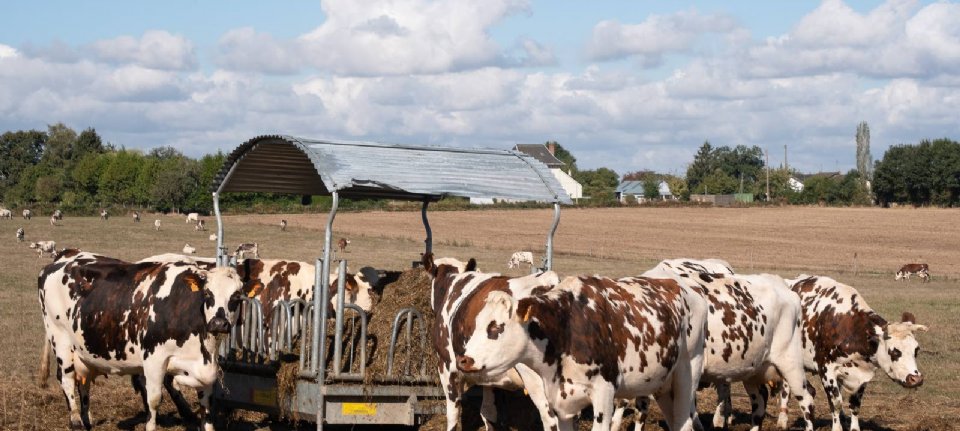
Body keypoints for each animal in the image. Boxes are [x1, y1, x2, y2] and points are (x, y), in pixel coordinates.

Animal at [38, 250, 246, 431]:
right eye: (207, 294)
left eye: (236, 297)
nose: (219, 323)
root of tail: (64, 257)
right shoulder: (154, 359)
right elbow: (154, 398)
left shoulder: (207, 365)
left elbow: (206, 401)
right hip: (60, 340)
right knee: (66, 378)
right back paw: (76, 421)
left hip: (84, 351)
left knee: (84, 382)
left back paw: (87, 419)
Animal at [780, 276, 928, 431]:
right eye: (894, 351)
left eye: (916, 350)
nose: (916, 379)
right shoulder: (826, 370)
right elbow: (835, 403)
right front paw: (836, 427)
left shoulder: (862, 375)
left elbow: (855, 405)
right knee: (788, 387)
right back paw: (782, 419)